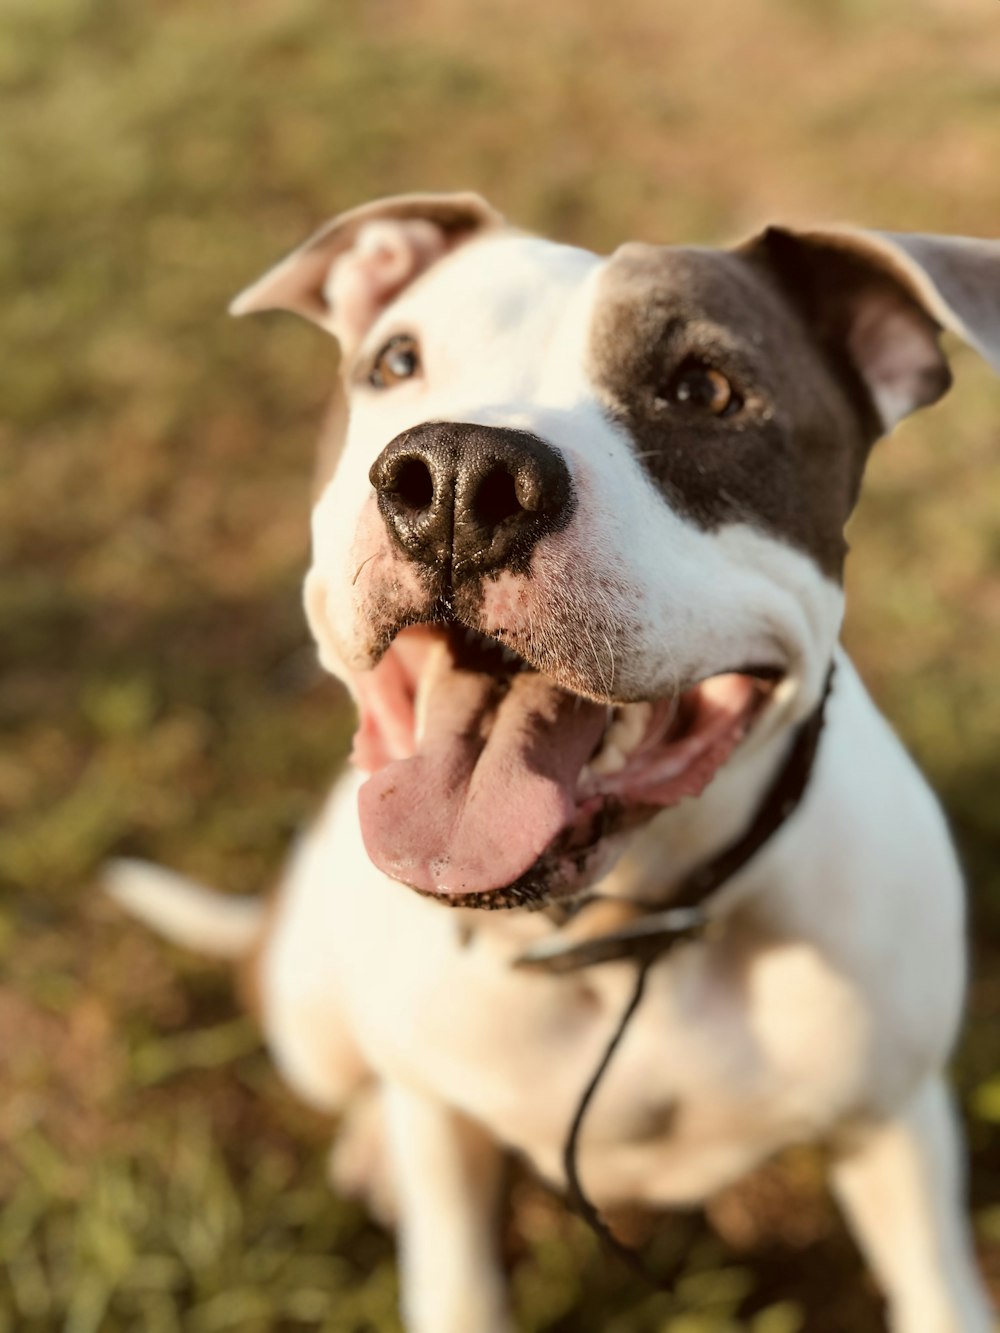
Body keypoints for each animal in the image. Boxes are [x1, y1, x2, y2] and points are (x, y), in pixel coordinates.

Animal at [106, 190, 997, 1333]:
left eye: (703, 389)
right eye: (397, 361)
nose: (455, 473)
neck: (618, 936)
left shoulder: (897, 1127)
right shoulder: (446, 1142)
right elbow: (453, 1265)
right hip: (312, 1015)